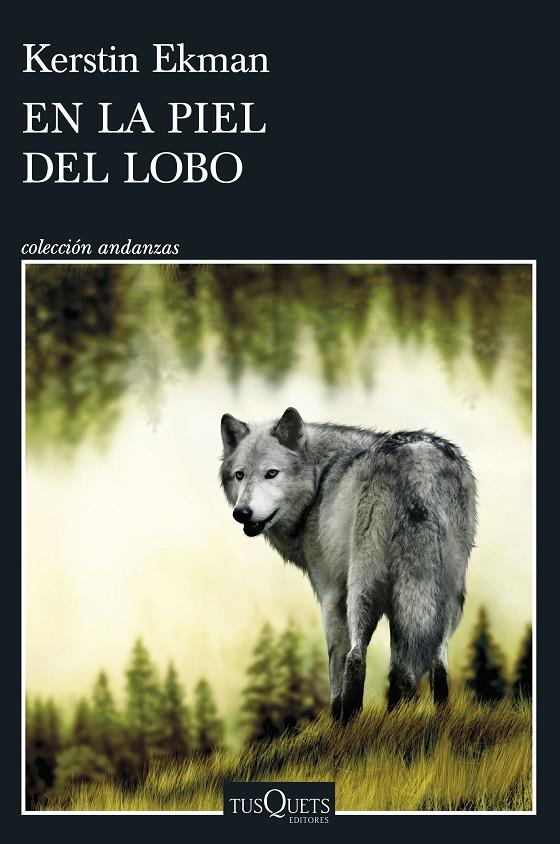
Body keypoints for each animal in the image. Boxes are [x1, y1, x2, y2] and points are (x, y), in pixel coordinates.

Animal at [220, 407, 476, 723]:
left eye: (271, 473)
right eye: (240, 475)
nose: (241, 513)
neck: (320, 481)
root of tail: (420, 463)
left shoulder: (331, 594)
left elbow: (336, 666)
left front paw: (336, 718)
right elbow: (401, 662)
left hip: (361, 588)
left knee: (357, 656)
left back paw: (349, 723)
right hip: (448, 594)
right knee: (435, 663)